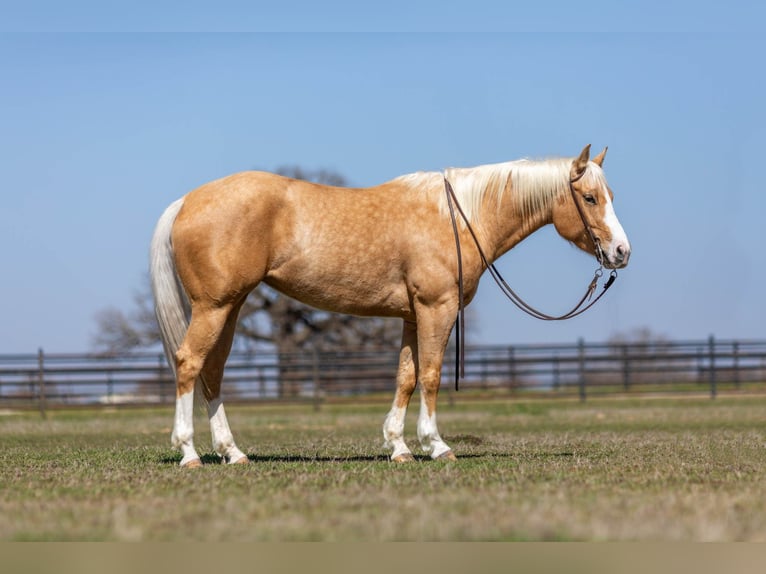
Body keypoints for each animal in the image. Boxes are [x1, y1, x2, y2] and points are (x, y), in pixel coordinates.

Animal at [150, 144, 632, 468]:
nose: (621, 252)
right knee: (190, 363)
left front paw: (399, 447)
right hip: (214, 306)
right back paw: (189, 453)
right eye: (590, 198)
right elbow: (432, 375)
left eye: (611, 195)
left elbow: (406, 377)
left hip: (229, 308)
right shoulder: (437, 308)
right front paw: (437, 445)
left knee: (212, 372)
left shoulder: (410, 315)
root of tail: (187, 201)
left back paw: (232, 453)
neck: (459, 217)